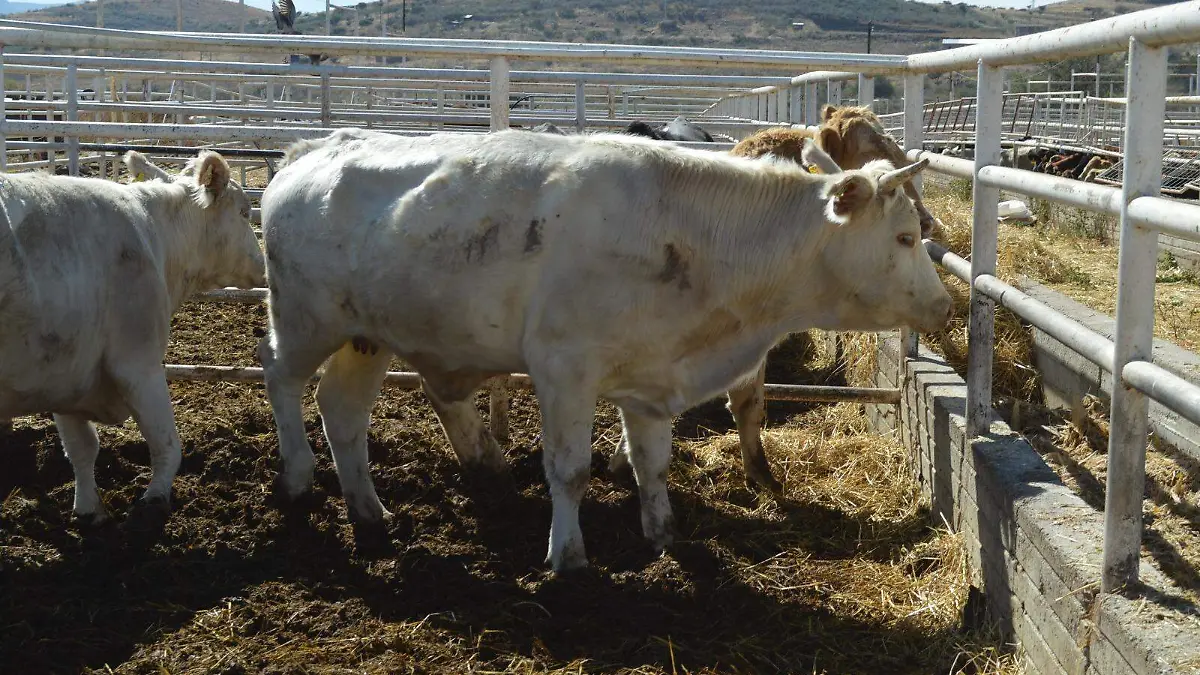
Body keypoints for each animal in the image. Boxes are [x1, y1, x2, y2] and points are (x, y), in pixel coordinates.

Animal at [0, 149, 265, 523]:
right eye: (244, 212)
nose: (263, 264)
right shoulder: (137, 362)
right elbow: (166, 442)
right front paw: (154, 499)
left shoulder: (65, 372)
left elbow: (82, 448)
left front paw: (88, 510)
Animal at [258, 126, 950, 566]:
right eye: (905, 237)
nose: (943, 304)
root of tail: (312, 149)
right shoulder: (563, 370)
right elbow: (569, 470)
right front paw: (568, 556)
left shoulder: (651, 381)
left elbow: (653, 464)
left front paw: (663, 535)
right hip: (303, 320)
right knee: (280, 377)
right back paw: (296, 476)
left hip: (365, 337)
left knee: (342, 411)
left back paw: (369, 513)